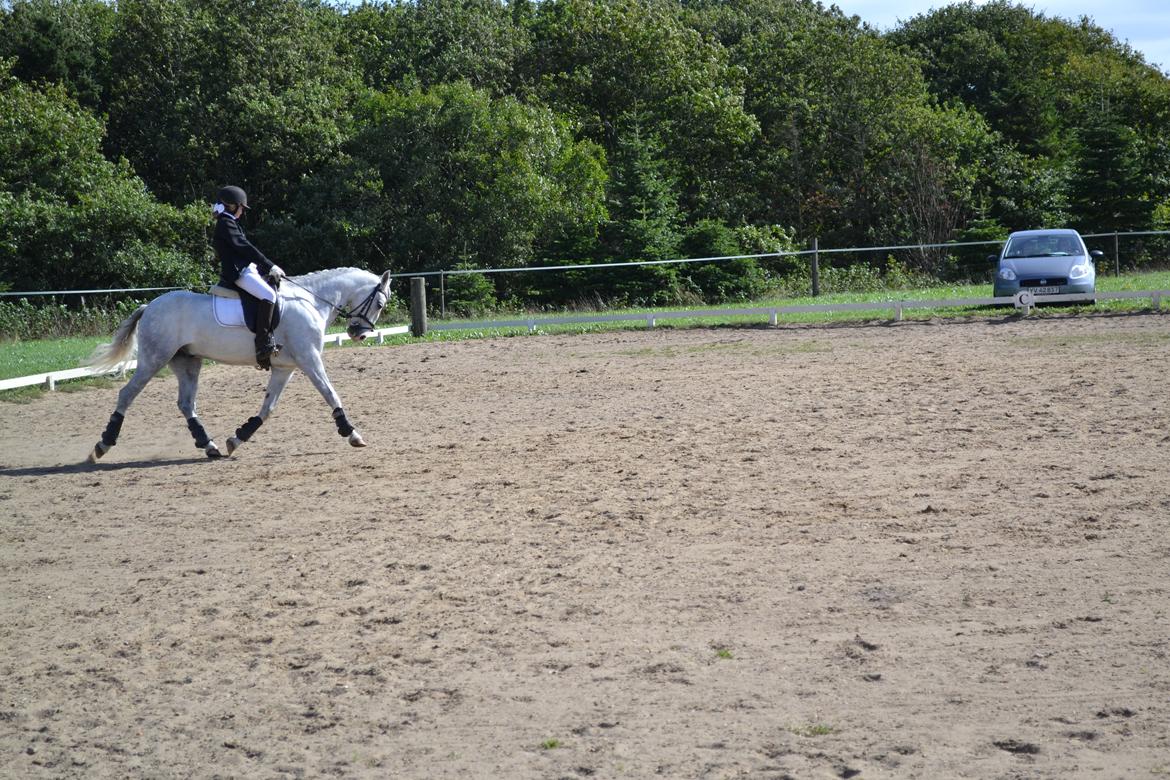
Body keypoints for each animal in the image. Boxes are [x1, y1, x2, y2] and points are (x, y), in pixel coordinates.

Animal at [84, 267, 394, 463]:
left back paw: (209, 446)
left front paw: (237, 439)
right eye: (379, 303)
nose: (358, 333)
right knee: (127, 394)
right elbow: (331, 394)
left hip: (187, 362)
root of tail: (149, 306)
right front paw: (352, 434)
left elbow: (268, 408)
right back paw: (101, 446)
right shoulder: (309, 359)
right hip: (154, 358)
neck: (311, 301)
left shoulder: (285, 368)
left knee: (186, 404)